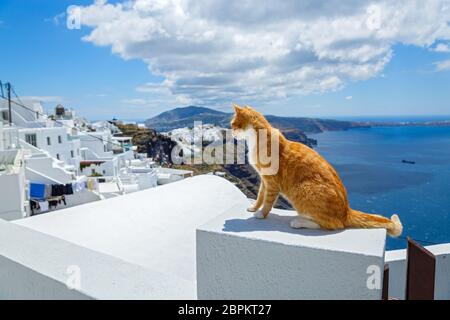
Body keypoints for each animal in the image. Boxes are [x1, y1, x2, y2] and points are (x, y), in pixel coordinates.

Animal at [230, 104, 402, 236]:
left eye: (233, 124)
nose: (231, 133)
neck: (257, 140)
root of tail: (346, 211)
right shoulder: (264, 179)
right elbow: (260, 196)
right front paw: (254, 207)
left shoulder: (271, 181)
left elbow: (268, 201)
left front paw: (262, 214)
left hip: (304, 189)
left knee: (333, 224)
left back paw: (299, 222)